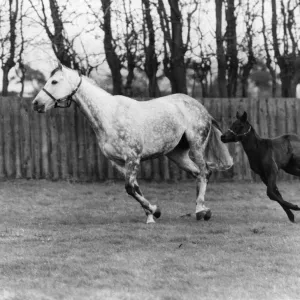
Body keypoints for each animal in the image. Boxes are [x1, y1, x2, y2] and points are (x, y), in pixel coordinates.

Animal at [33, 63, 234, 223]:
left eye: (54, 82)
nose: (36, 104)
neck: (109, 115)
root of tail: (202, 109)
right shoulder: (119, 162)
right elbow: (135, 188)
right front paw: (151, 216)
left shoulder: (133, 158)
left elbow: (129, 188)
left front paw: (155, 211)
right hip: (176, 154)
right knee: (197, 173)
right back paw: (201, 209)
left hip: (197, 145)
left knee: (205, 172)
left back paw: (201, 211)